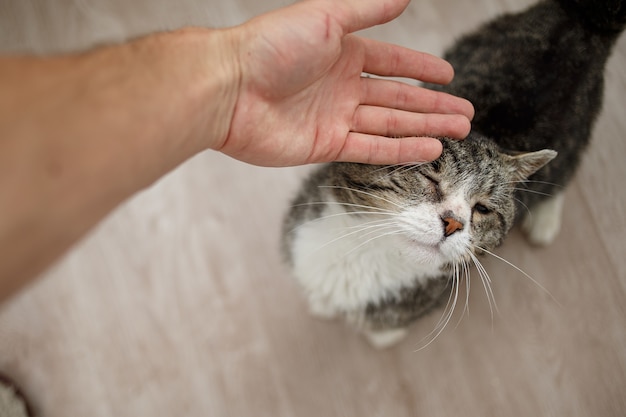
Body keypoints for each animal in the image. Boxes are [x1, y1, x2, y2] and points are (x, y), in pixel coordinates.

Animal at [280, 0, 620, 348]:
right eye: (430, 179)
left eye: (482, 208)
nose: (453, 223)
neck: (367, 255)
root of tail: (583, 19)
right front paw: (322, 306)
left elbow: (383, 332)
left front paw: (381, 333)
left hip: (572, 139)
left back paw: (545, 218)